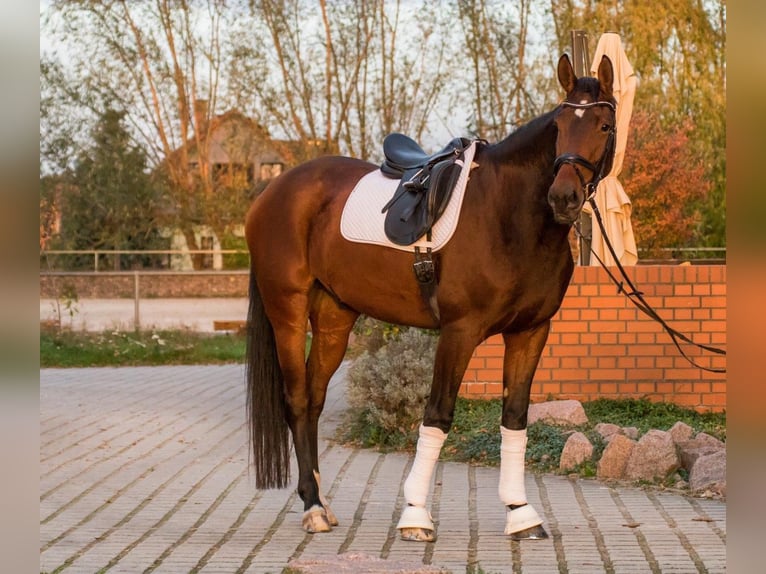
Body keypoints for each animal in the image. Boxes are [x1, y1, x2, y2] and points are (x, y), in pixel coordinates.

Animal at [246, 55, 616, 544]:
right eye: (559, 124)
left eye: (604, 125)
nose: (563, 197)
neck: (509, 215)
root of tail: (273, 192)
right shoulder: (459, 332)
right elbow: (437, 415)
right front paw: (416, 515)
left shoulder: (531, 332)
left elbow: (515, 417)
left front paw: (521, 513)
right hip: (287, 312)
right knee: (295, 400)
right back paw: (311, 507)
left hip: (333, 319)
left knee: (313, 401)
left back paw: (321, 502)